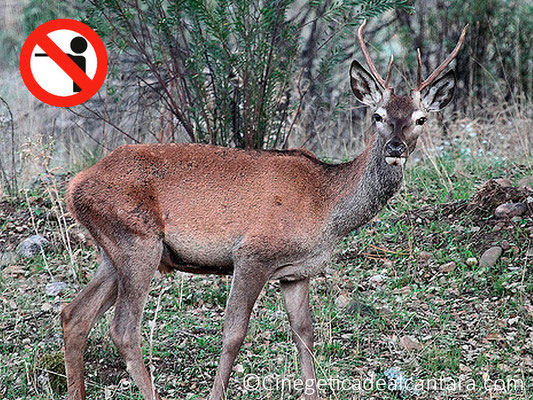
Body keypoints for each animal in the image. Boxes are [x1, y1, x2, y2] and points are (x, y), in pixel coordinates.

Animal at [62, 21, 468, 400]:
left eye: (420, 118)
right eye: (379, 115)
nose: (395, 148)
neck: (328, 207)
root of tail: (76, 184)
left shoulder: (297, 272)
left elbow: (304, 333)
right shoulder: (253, 252)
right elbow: (233, 333)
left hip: (114, 250)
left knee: (74, 315)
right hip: (137, 240)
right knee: (123, 330)